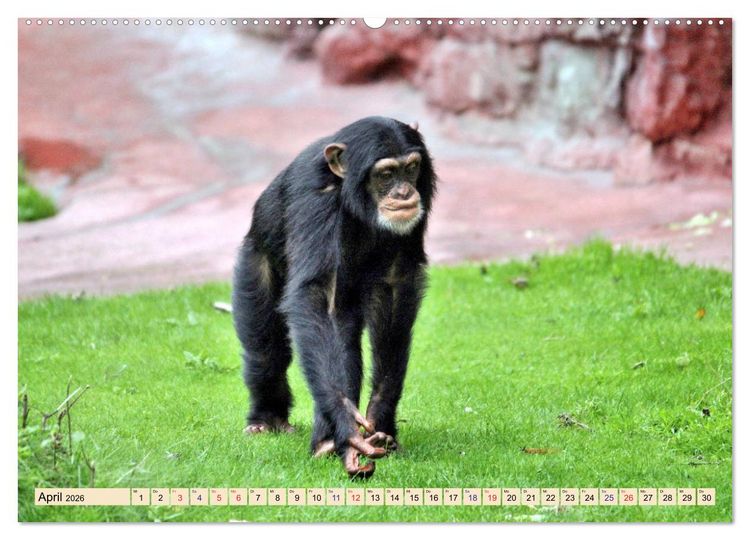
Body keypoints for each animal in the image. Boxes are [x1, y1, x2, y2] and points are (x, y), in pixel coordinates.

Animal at [232, 116, 436, 477]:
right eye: (385, 174)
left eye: (411, 168)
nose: (404, 193)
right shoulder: (315, 196)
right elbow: (320, 294)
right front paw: (346, 424)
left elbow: (395, 289)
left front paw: (378, 416)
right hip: (254, 258)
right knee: (266, 350)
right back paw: (272, 422)